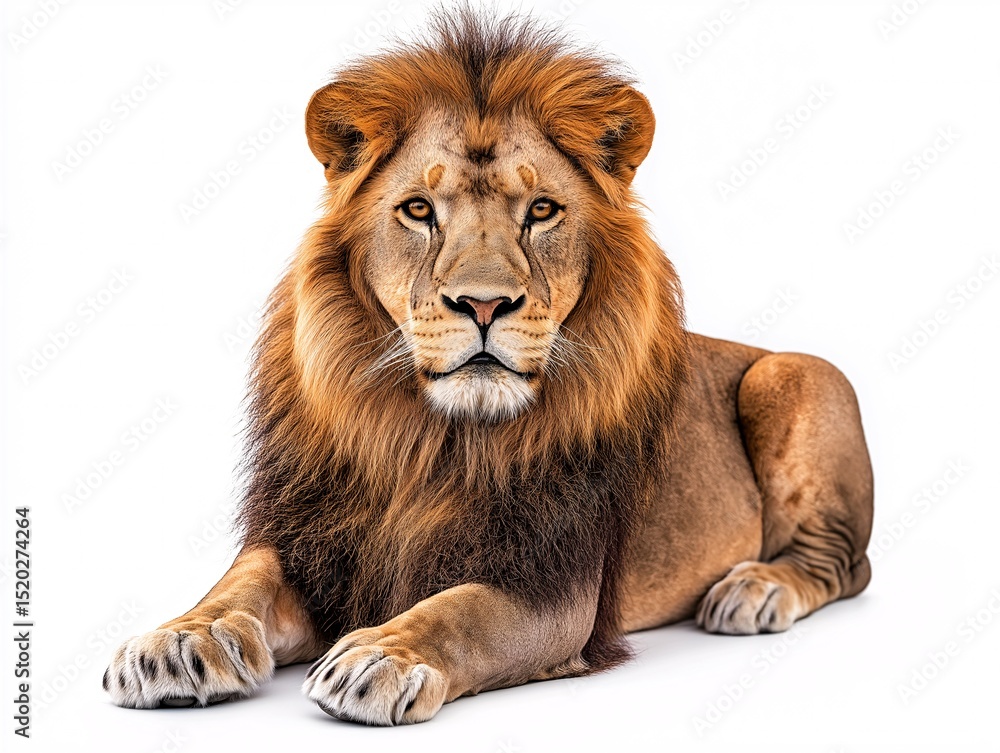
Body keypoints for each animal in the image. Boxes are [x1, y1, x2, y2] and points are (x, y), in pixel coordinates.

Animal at [104, 11, 873, 725]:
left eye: (542, 209)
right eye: (418, 209)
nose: (483, 303)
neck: (428, 439)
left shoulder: (555, 586)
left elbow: (458, 610)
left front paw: (380, 655)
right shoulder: (309, 540)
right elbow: (239, 583)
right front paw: (179, 639)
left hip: (792, 376)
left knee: (845, 564)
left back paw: (755, 590)